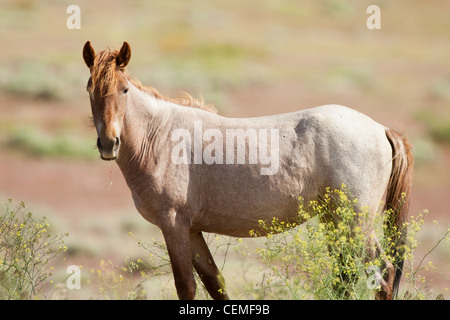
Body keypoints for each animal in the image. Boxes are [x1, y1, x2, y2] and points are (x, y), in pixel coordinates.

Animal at [82, 41, 414, 298]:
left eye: (124, 90)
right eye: (89, 89)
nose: (109, 143)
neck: (160, 135)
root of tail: (380, 128)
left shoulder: (173, 224)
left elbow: (186, 287)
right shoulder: (191, 229)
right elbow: (215, 283)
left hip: (354, 223)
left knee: (379, 274)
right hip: (337, 221)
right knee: (349, 276)